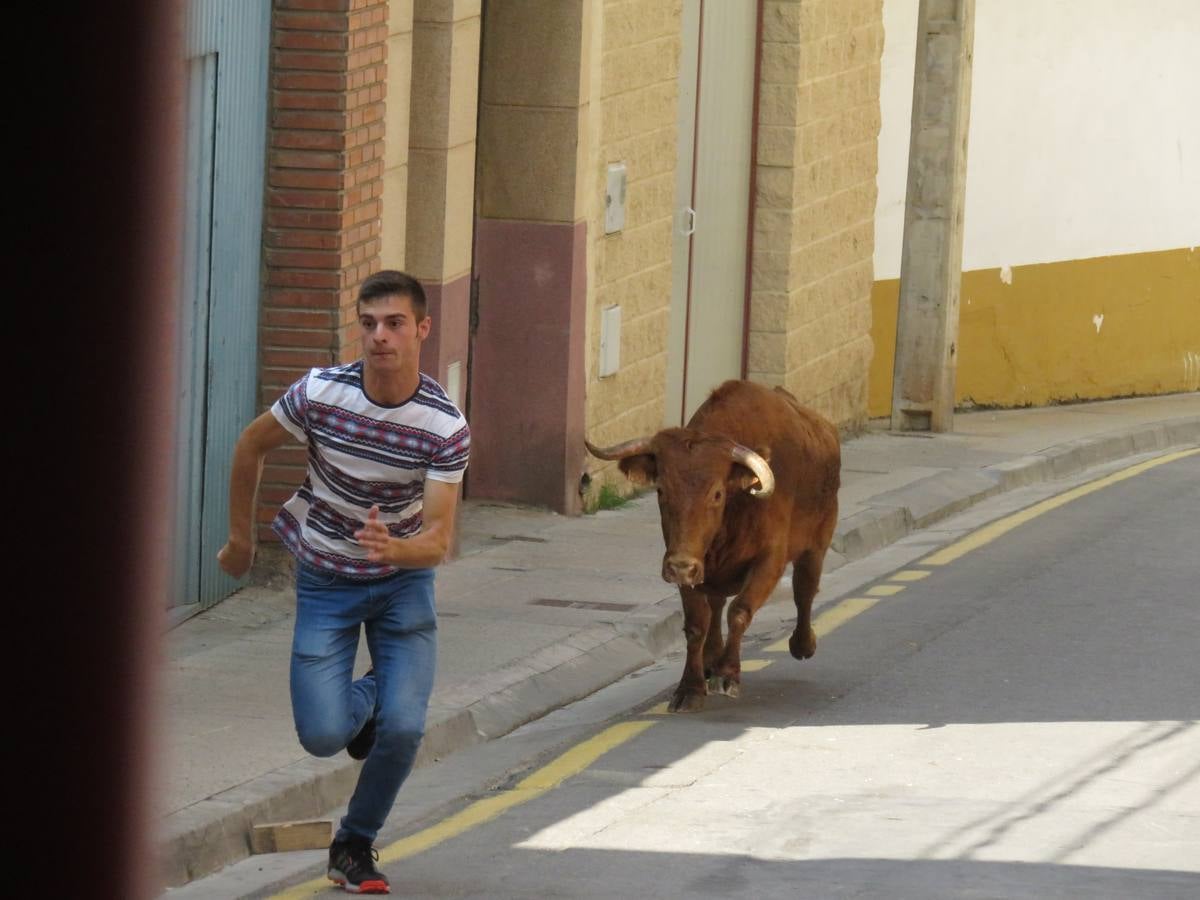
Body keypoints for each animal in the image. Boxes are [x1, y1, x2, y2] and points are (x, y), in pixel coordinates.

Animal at [585, 379, 840, 710]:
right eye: (661, 490)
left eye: (717, 494)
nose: (680, 566)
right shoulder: (689, 562)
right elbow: (697, 624)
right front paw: (690, 687)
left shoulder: (769, 561)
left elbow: (740, 611)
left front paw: (728, 674)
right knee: (716, 605)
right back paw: (711, 659)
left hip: (817, 543)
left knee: (804, 591)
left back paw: (802, 644)